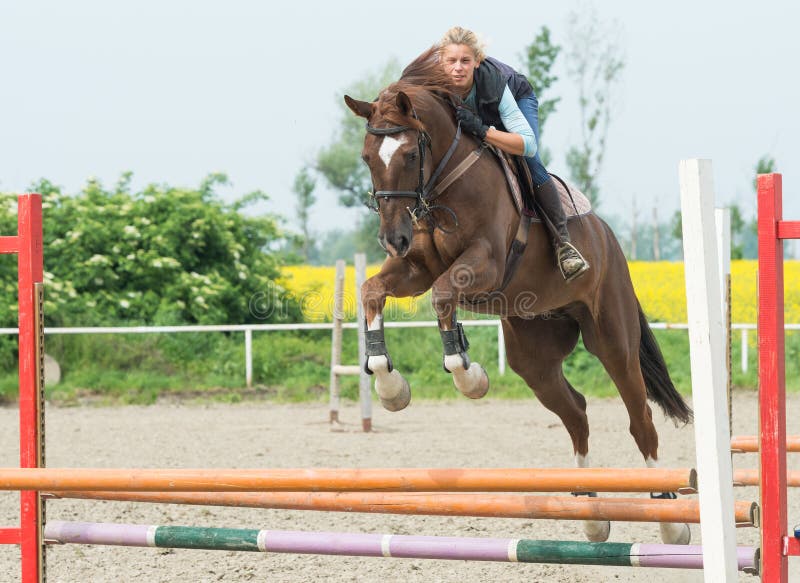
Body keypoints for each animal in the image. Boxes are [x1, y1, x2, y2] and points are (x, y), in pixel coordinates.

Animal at [344, 49, 693, 545]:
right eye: (367, 157)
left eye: (410, 154)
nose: (393, 239)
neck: (446, 181)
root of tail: (610, 239)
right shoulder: (416, 268)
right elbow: (372, 290)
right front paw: (390, 385)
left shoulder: (484, 263)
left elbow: (443, 296)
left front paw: (468, 376)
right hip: (534, 357)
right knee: (576, 412)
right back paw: (590, 512)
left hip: (612, 339)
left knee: (639, 416)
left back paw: (670, 519)